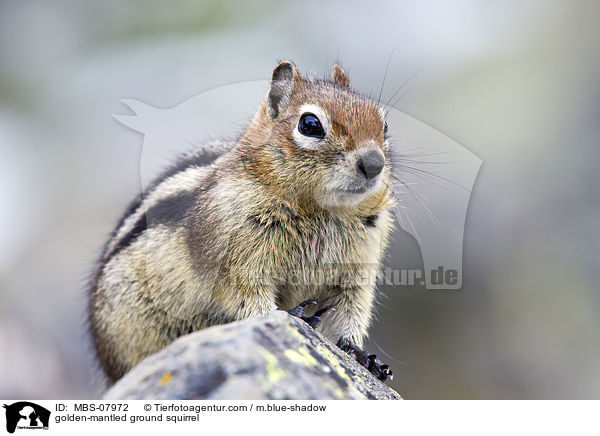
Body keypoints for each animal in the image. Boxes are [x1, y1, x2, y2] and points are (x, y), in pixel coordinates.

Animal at [89, 60, 396, 382]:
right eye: (310, 125)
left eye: (384, 125)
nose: (374, 164)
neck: (323, 211)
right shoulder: (234, 259)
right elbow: (247, 297)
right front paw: (293, 314)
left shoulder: (356, 275)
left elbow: (349, 315)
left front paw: (362, 355)